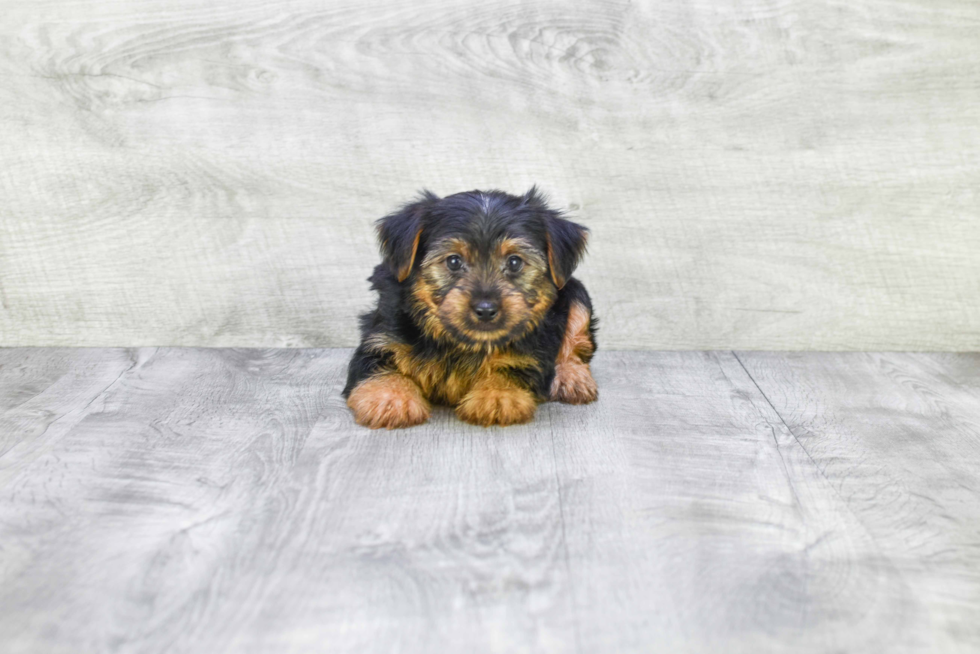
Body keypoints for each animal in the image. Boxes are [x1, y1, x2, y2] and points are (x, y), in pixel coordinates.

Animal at [342, 187, 596, 430]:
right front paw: (391, 399)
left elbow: (512, 367)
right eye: (453, 261)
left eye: (515, 262)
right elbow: (379, 366)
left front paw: (497, 396)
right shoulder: (381, 338)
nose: (485, 309)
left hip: (576, 294)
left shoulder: (533, 353)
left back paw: (572, 377)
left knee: (577, 342)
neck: (463, 342)